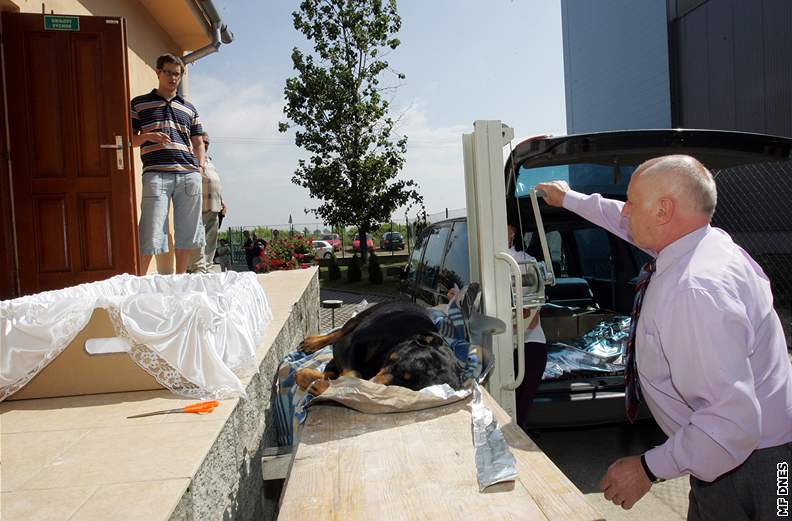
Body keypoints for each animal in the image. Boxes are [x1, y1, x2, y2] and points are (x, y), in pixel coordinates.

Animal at [294, 298, 468, 396]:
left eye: (407, 386)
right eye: (401, 367)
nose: (373, 385)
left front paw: (319, 383)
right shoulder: (350, 343)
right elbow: (351, 372)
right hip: (363, 316)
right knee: (339, 332)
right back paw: (311, 343)